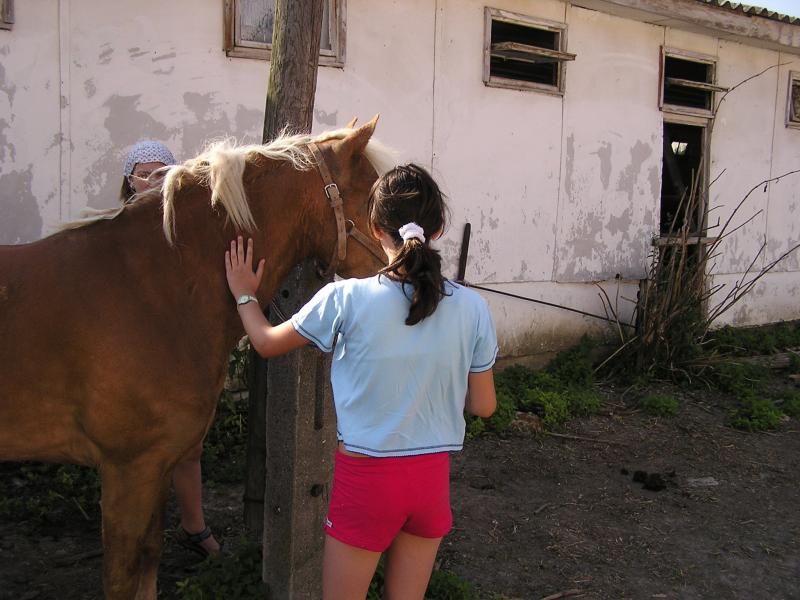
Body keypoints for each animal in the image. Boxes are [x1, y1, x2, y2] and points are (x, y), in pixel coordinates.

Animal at [0, 118, 390, 600]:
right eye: (376, 197)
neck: (151, 288)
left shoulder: (157, 464)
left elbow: (148, 560)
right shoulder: (128, 468)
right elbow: (122, 576)